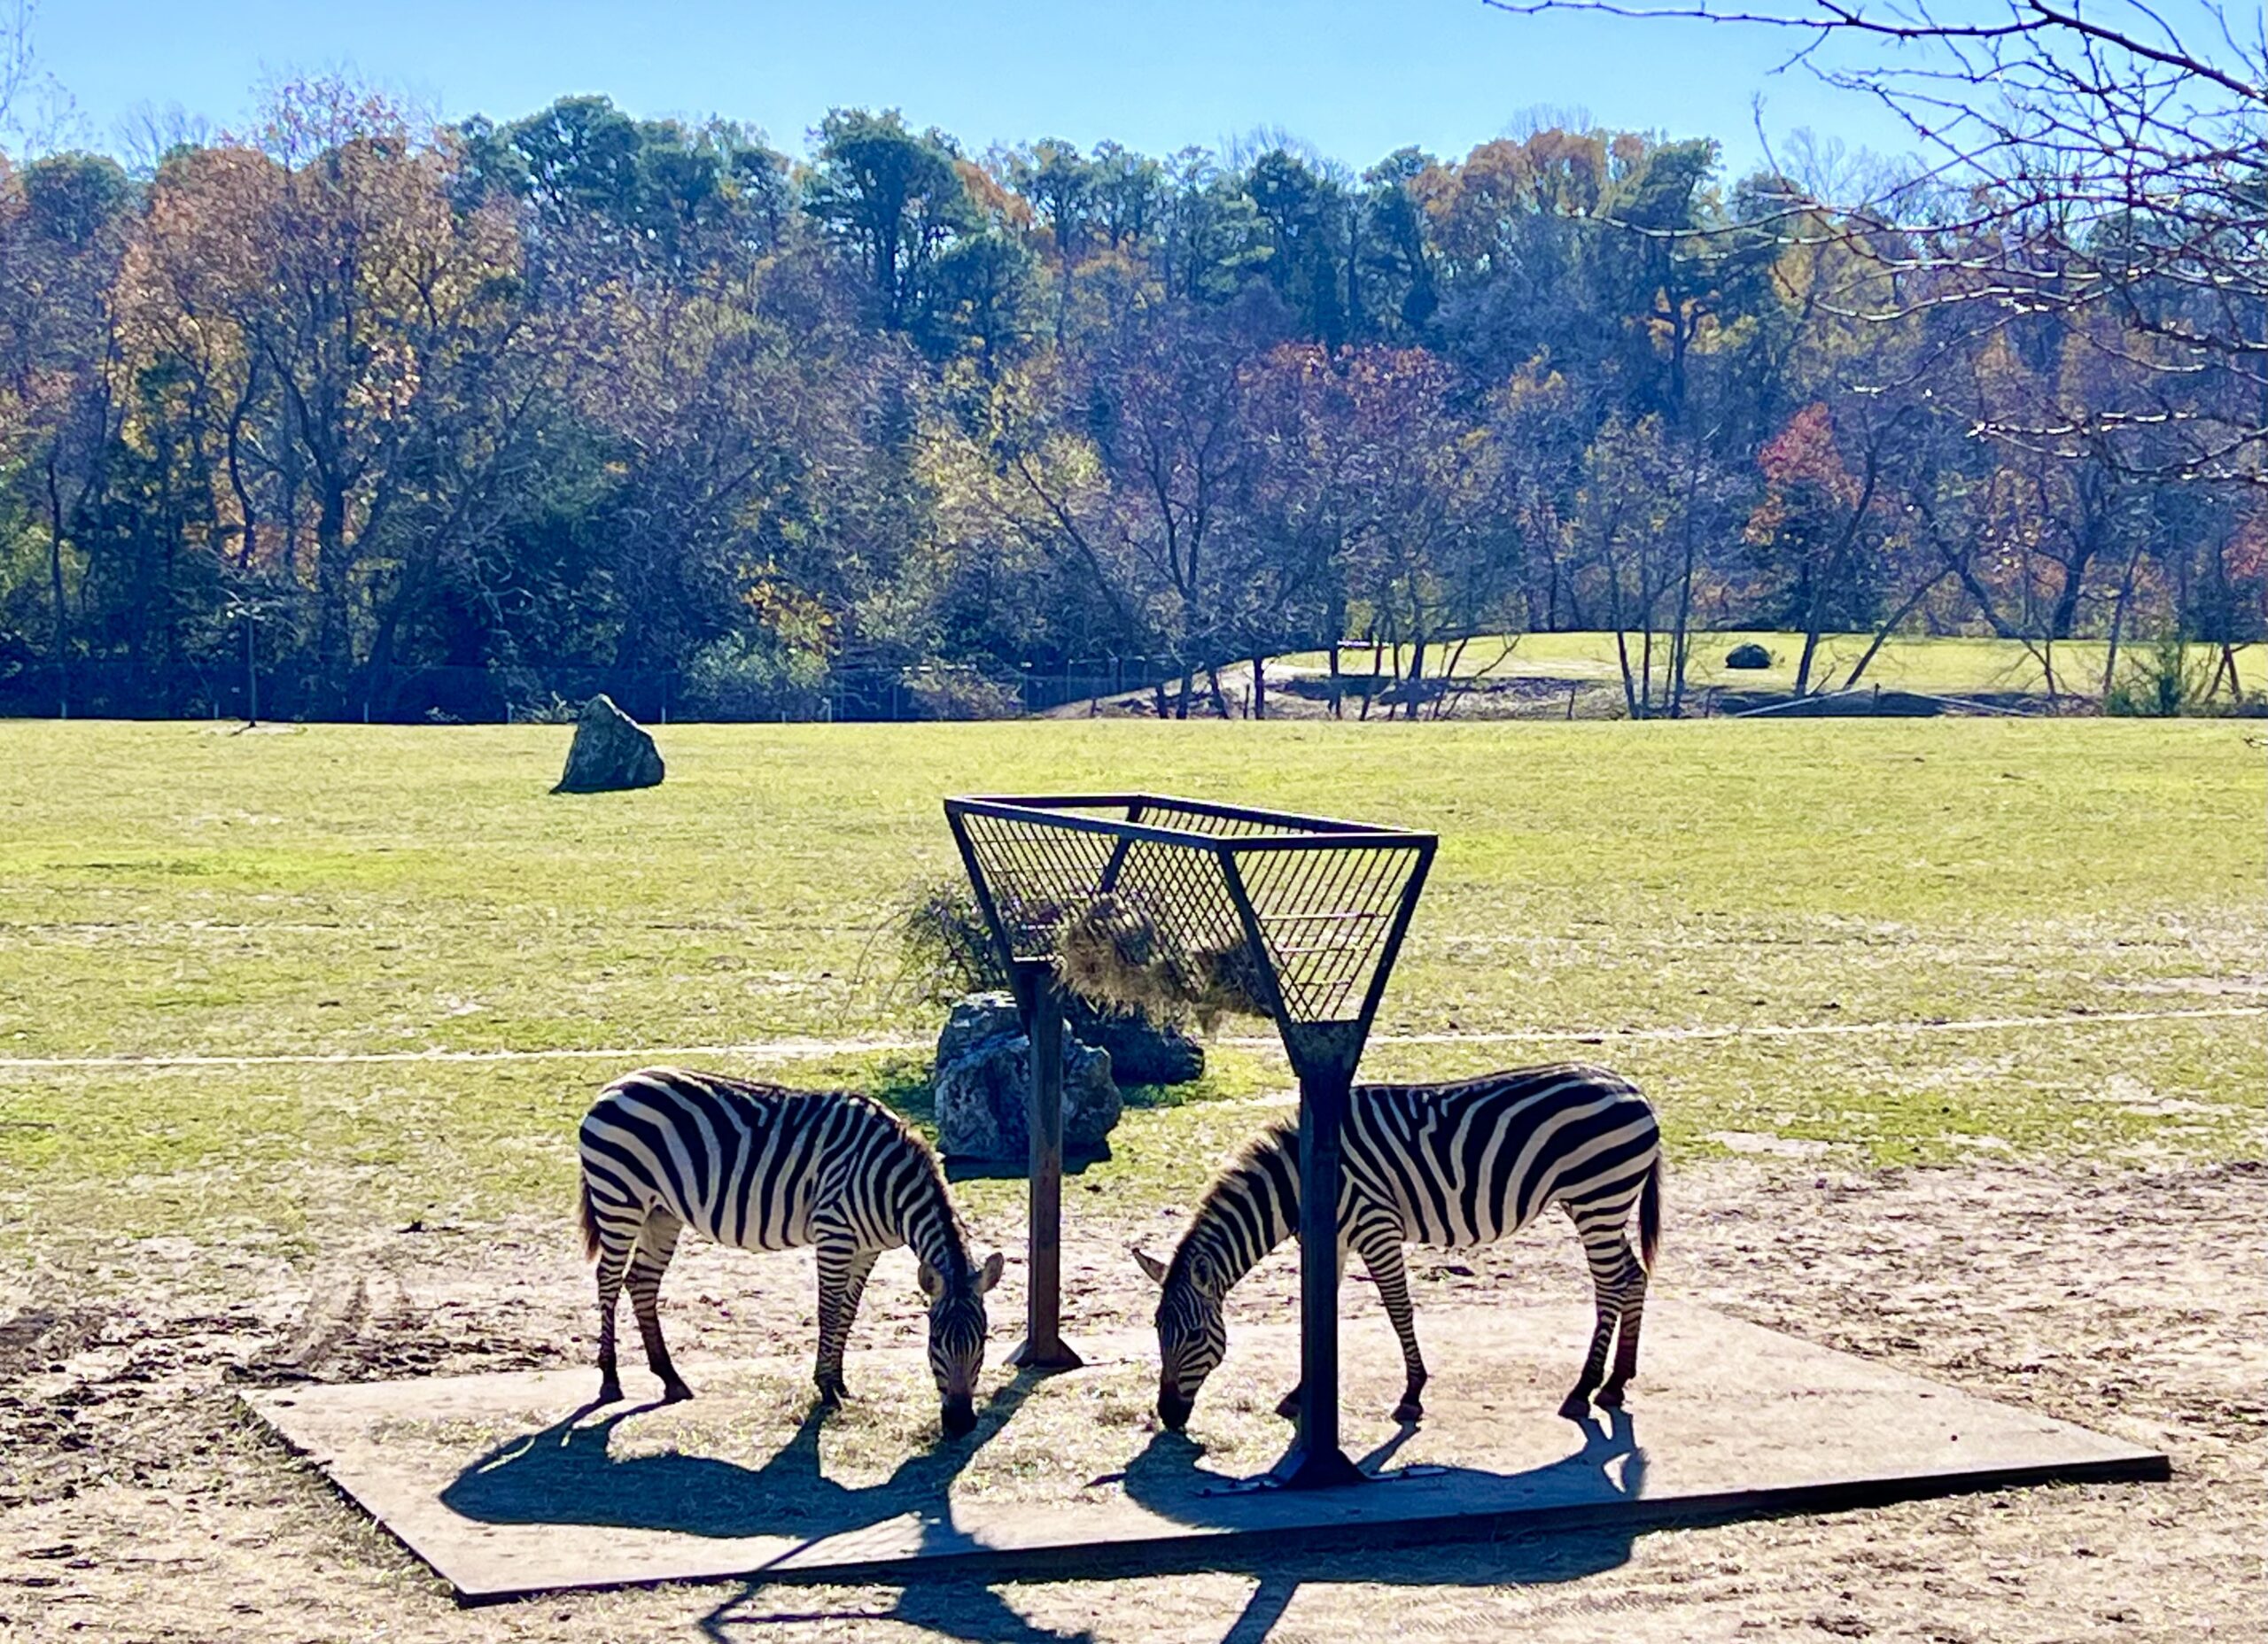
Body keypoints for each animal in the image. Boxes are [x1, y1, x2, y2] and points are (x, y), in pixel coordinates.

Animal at [576, 1070, 1002, 1432]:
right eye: (935, 1342)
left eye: (982, 1341)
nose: (961, 1424)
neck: (892, 1187)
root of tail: (615, 1085)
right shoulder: (834, 1234)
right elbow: (829, 1311)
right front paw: (826, 1388)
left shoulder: (868, 1250)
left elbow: (848, 1313)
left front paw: (839, 1382)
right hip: (620, 1199)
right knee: (608, 1280)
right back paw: (611, 1379)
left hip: (661, 1212)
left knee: (641, 1282)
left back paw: (670, 1378)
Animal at [1129, 1056, 1651, 1432]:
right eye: (1156, 1329)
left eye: (1195, 1335)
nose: (1169, 1417)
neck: (1300, 1180)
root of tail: (1632, 1087)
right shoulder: (1335, 1237)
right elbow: (1318, 1310)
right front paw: (1300, 1395)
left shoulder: (1375, 1225)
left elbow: (1399, 1310)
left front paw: (1412, 1394)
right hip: (1599, 1204)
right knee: (1634, 1275)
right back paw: (1615, 1384)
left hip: (1598, 1198)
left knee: (1611, 1284)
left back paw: (1583, 1390)